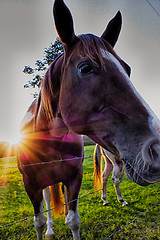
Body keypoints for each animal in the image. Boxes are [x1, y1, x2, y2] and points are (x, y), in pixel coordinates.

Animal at [16, 0, 160, 239]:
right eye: (85, 68)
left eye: (128, 69)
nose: (157, 149)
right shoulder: (31, 186)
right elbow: (38, 221)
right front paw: (46, 229)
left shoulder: (74, 179)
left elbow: (73, 220)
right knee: (47, 204)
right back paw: (50, 230)